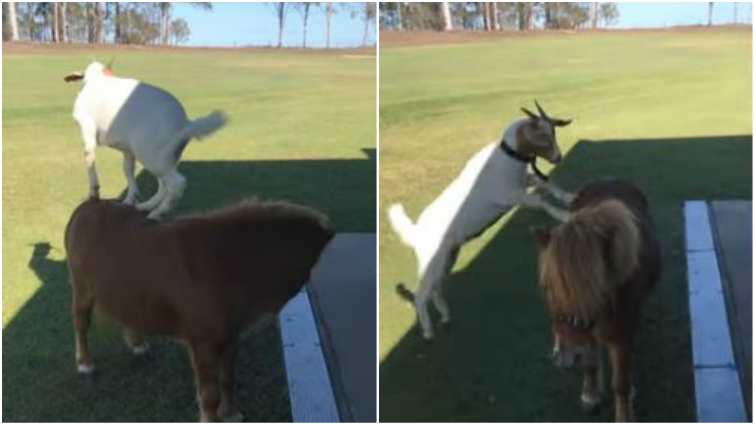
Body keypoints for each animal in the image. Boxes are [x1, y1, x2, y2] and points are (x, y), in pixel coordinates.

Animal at [64, 62, 227, 220]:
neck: (98, 78)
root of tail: (184, 124)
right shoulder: (128, 150)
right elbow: (128, 170)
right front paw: (130, 199)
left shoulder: (87, 128)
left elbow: (89, 157)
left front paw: (93, 193)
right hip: (167, 158)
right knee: (164, 185)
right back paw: (147, 206)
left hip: (151, 155)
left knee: (176, 183)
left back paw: (158, 212)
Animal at [65, 198, 335, 422]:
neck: (223, 262)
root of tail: (88, 204)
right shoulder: (202, 342)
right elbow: (209, 394)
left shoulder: (230, 337)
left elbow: (227, 379)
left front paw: (231, 413)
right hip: (82, 286)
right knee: (80, 321)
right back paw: (85, 362)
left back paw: (138, 344)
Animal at [388, 101, 575, 340]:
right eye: (542, 136)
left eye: (553, 131)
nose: (558, 158)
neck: (505, 158)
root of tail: (416, 232)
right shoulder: (510, 195)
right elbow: (541, 200)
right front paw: (565, 215)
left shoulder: (522, 181)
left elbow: (545, 184)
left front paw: (569, 197)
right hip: (433, 260)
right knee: (421, 294)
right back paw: (428, 331)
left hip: (448, 256)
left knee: (435, 289)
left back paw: (445, 316)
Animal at [533, 179, 661, 422]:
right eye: (547, 287)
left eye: (594, 287)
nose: (566, 359)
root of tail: (609, 178)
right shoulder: (587, 336)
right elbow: (591, 363)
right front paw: (590, 394)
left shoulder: (622, 336)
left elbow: (620, 382)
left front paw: (625, 414)